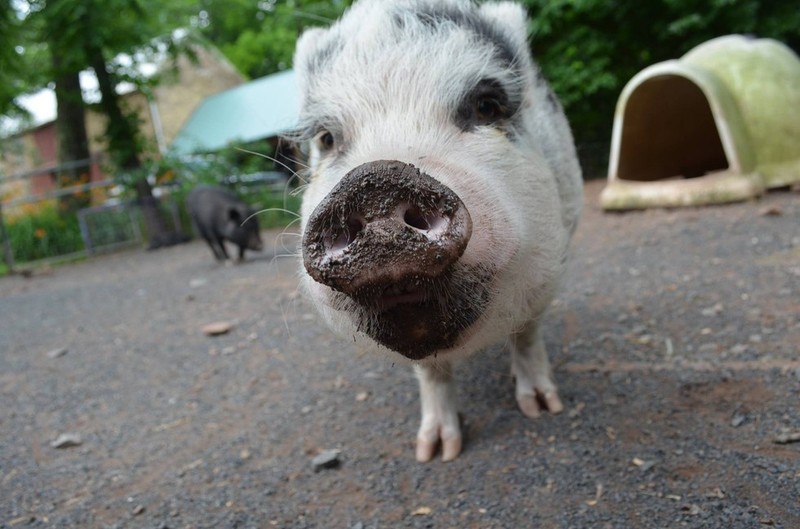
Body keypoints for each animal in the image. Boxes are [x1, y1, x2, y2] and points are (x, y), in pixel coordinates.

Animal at [294, 0, 580, 462]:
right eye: (326, 137)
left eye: (487, 105)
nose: (375, 180)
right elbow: (431, 371)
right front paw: (437, 453)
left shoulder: (551, 268)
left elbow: (527, 334)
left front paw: (544, 409)